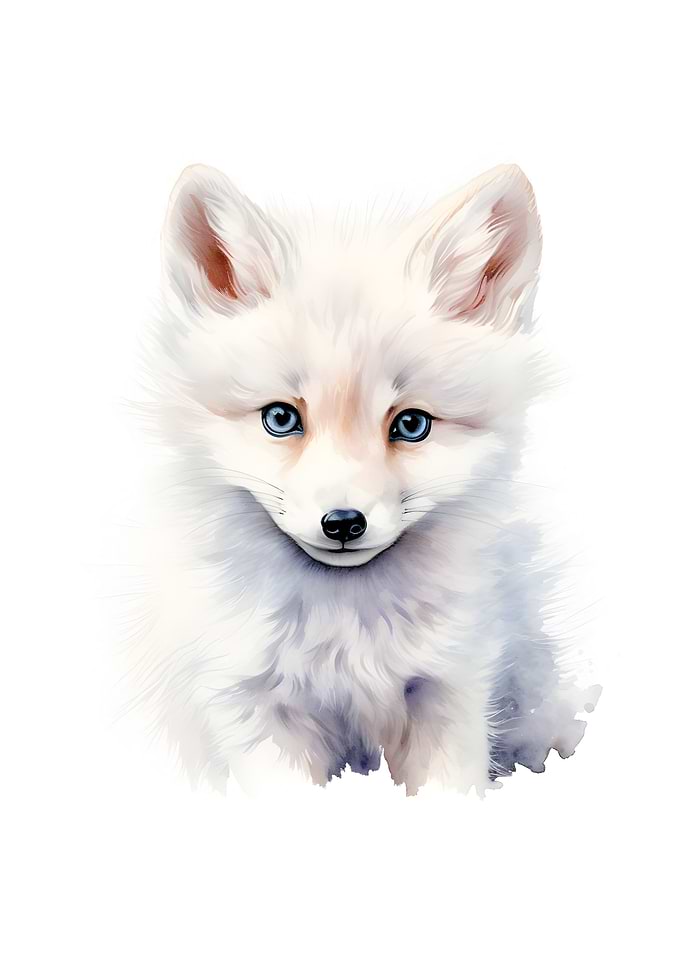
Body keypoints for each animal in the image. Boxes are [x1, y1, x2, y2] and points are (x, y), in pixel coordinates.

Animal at [125, 162, 599, 796]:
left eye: (411, 424)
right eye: (281, 418)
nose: (344, 524)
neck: (346, 642)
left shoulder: (450, 691)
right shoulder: (251, 706)